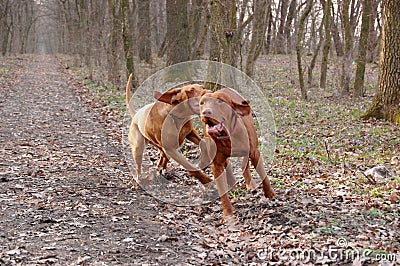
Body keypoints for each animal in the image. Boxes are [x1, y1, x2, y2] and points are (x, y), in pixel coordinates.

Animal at [199, 87, 276, 216]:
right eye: (202, 103)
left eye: (220, 101)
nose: (206, 112)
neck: (227, 136)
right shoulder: (216, 164)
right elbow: (223, 191)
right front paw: (228, 213)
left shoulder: (255, 152)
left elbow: (262, 173)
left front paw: (269, 192)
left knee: (244, 162)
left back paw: (250, 183)